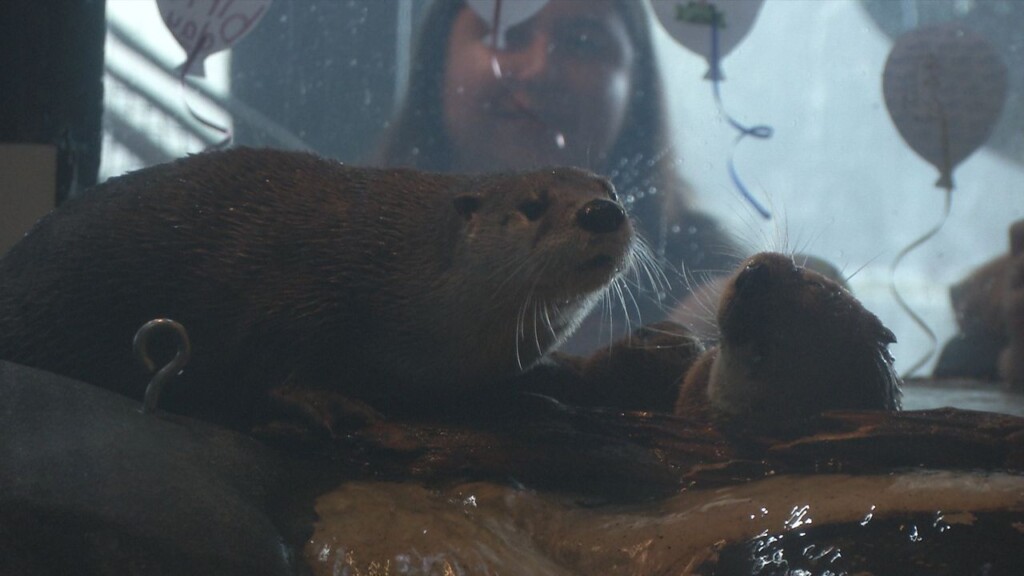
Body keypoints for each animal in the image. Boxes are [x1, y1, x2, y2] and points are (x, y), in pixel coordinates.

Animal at [0, 148, 637, 429]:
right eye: (533, 205)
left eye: (608, 187)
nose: (601, 211)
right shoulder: (301, 289)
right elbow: (269, 353)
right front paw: (327, 401)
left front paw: (567, 378)